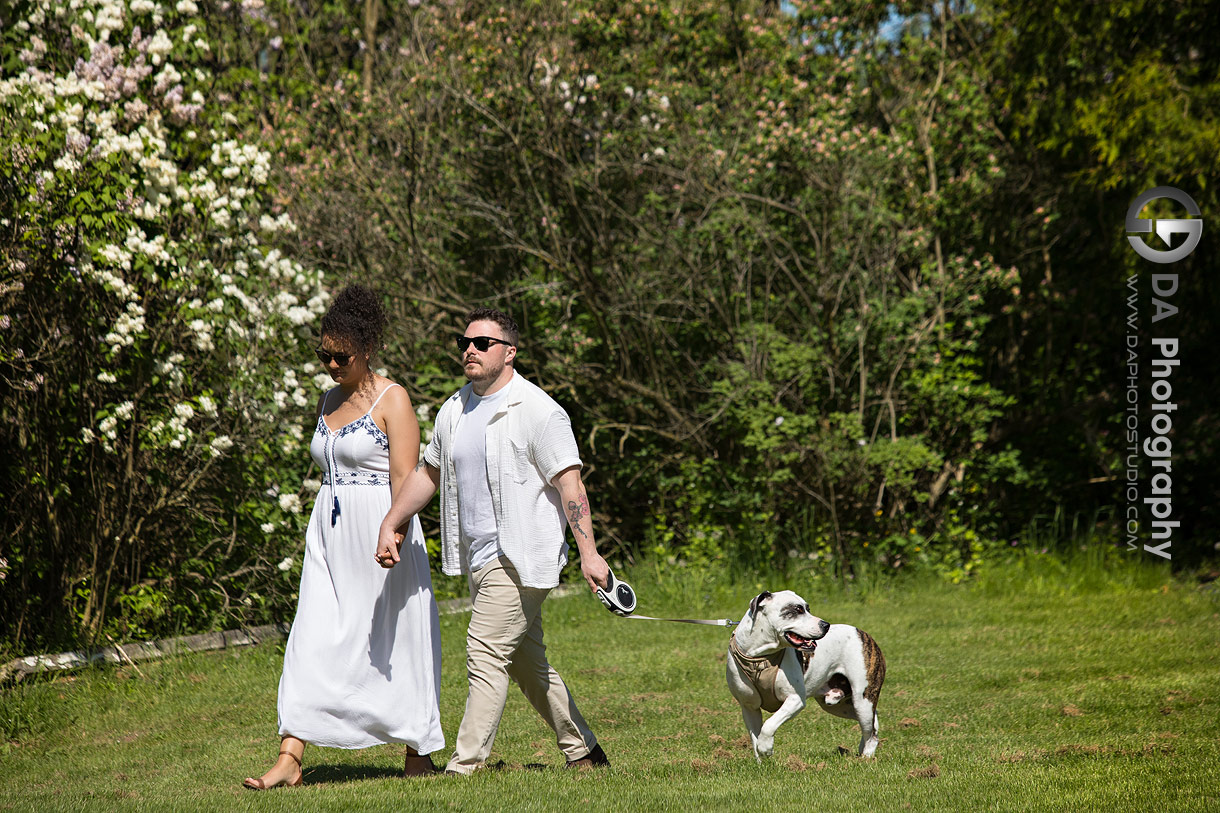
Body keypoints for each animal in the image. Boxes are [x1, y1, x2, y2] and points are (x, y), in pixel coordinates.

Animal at [722, 585, 888, 756]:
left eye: (808, 608)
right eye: (797, 610)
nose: (826, 625)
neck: (760, 656)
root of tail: (863, 633)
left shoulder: (795, 699)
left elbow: (769, 724)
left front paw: (765, 746)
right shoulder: (749, 707)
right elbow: (755, 737)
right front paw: (761, 757)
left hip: (863, 700)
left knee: (871, 733)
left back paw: (866, 757)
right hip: (840, 706)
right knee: (871, 723)